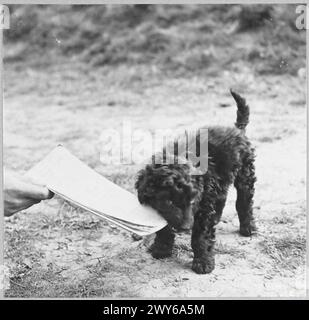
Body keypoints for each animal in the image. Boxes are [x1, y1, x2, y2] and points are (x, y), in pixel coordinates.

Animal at [135, 90, 255, 276]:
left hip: (245, 173)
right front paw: (161, 249)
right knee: (222, 197)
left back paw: (248, 228)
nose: (186, 227)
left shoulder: (203, 206)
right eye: (169, 202)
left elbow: (200, 237)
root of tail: (236, 129)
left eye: (192, 201)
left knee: (244, 201)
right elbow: (165, 228)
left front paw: (203, 262)